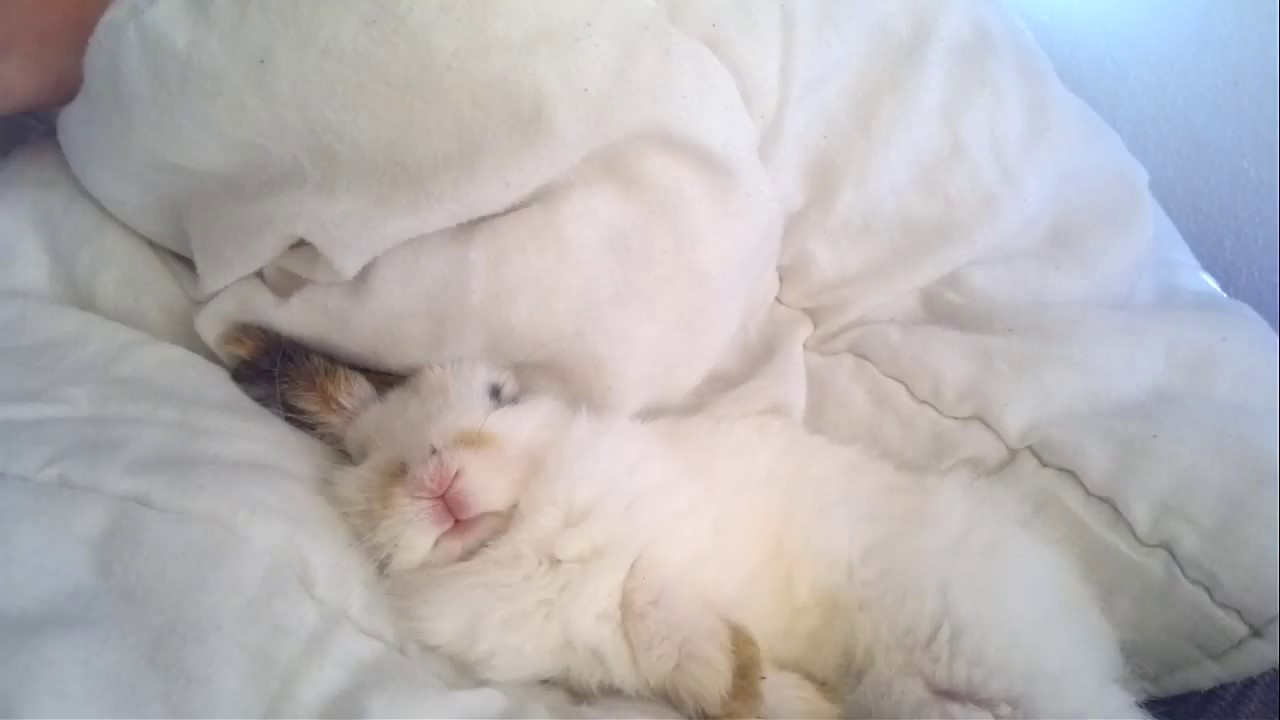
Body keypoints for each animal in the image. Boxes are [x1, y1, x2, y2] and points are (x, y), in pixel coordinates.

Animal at [221, 324, 1145, 719]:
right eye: (366, 456)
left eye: (500, 397)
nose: (437, 476)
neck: (519, 540)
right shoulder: (608, 659)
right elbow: (673, 656)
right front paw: (762, 691)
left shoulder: (660, 551)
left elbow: (653, 605)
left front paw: (737, 678)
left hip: (983, 653)